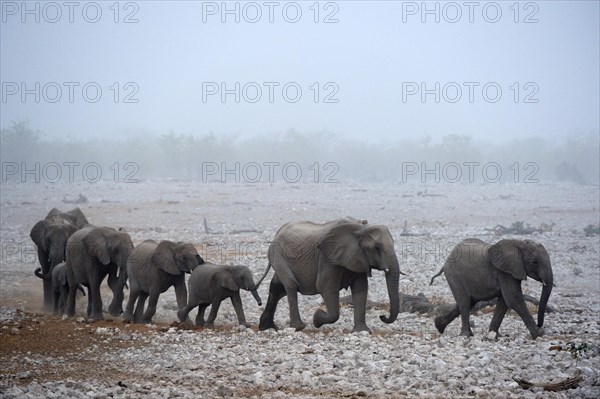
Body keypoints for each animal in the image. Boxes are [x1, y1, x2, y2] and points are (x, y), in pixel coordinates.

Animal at [256, 217, 400, 332]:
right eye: (376, 248)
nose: (382, 316)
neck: (359, 228)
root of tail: (278, 232)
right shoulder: (327, 257)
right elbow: (325, 287)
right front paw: (316, 318)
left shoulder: (358, 257)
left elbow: (361, 288)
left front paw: (362, 331)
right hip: (278, 255)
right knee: (291, 285)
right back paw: (298, 327)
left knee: (278, 287)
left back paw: (266, 327)